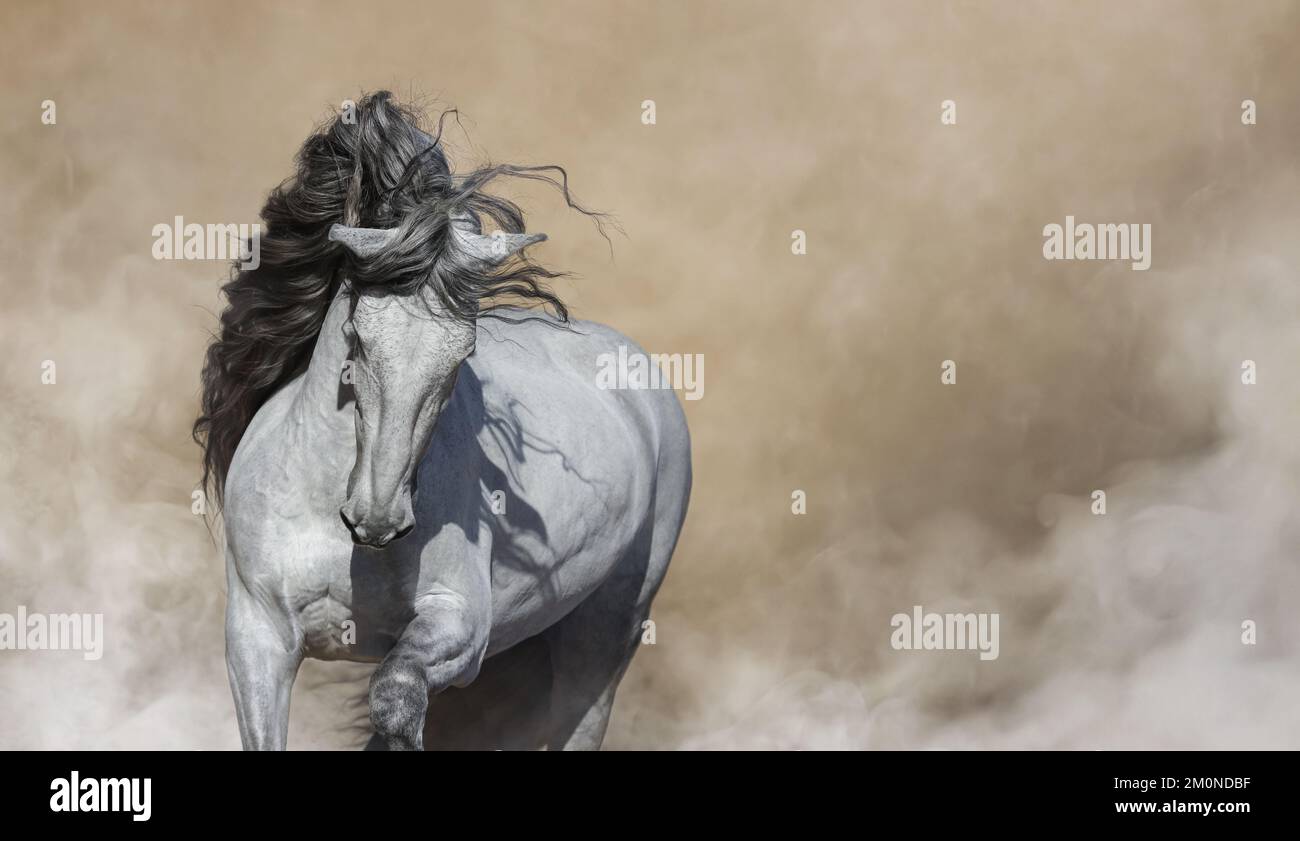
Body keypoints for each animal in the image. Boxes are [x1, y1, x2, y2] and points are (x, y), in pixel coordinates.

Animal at [200, 95, 691, 753]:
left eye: (463, 353)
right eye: (356, 335)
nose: (378, 519)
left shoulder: (460, 626)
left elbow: (395, 695)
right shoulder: (257, 637)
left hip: (606, 630)